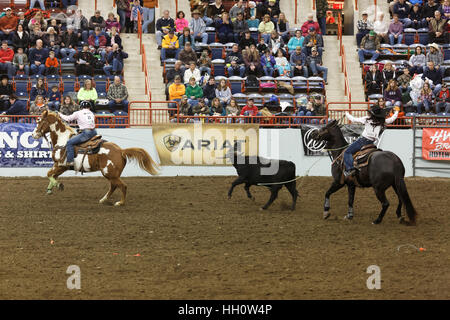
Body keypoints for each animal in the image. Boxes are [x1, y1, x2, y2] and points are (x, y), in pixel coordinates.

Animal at [31, 110, 159, 205]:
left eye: (40, 121)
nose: (33, 134)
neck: (62, 140)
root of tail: (121, 151)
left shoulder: (62, 165)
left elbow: (49, 174)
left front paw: (58, 185)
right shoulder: (59, 166)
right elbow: (51, 175)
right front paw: (50, 189)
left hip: (110, 173)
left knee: (123, 186)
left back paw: (120, 202)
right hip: (111, 174)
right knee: (113, 186)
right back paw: (103, 199)